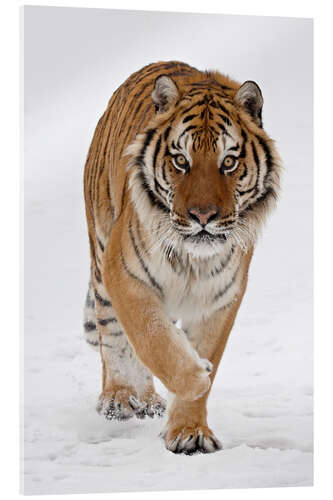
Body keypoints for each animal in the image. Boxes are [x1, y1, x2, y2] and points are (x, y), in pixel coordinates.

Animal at [83, 60, 280, 456]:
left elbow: (202, 348)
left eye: (229, 162)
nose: (202, 215)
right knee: (114, 335)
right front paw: (196, 376)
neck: (193, 261)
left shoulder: (218, 298)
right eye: (180, 161)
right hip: (101, 256)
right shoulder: (125, 274)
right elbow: (152, 338)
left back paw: (147, 401)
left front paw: (190, 431)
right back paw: (121, 399)